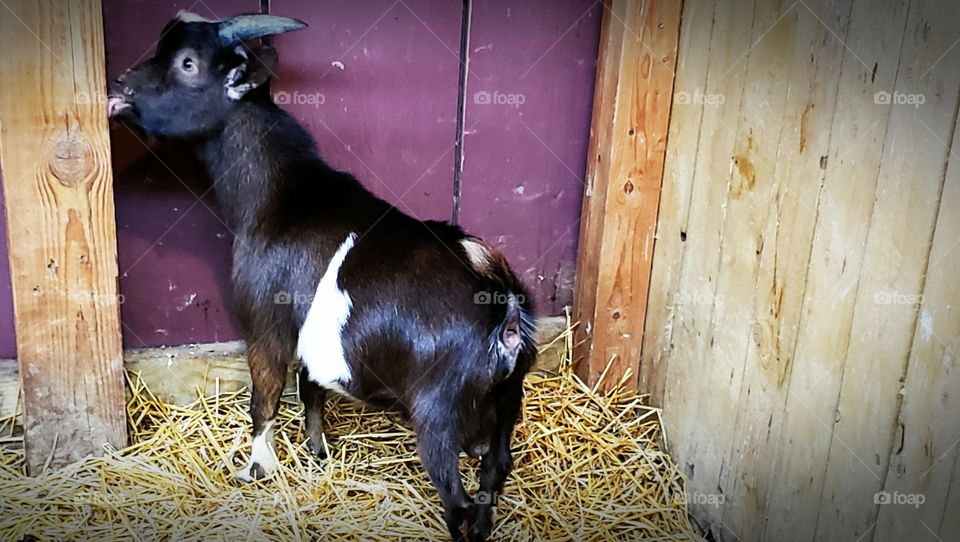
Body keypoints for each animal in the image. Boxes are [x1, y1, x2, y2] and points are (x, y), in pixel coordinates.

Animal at [108, 11, 536, 541]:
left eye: (188, 63)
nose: (119, 87)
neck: (281, 196)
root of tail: (506, 313)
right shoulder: (308, 329)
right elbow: (311, 385)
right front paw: (316, 450)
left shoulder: (265, 322)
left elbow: (265, 399)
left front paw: (256, 468)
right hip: (508, 403)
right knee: (494, 472)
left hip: (438, 413)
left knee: (459, 507)